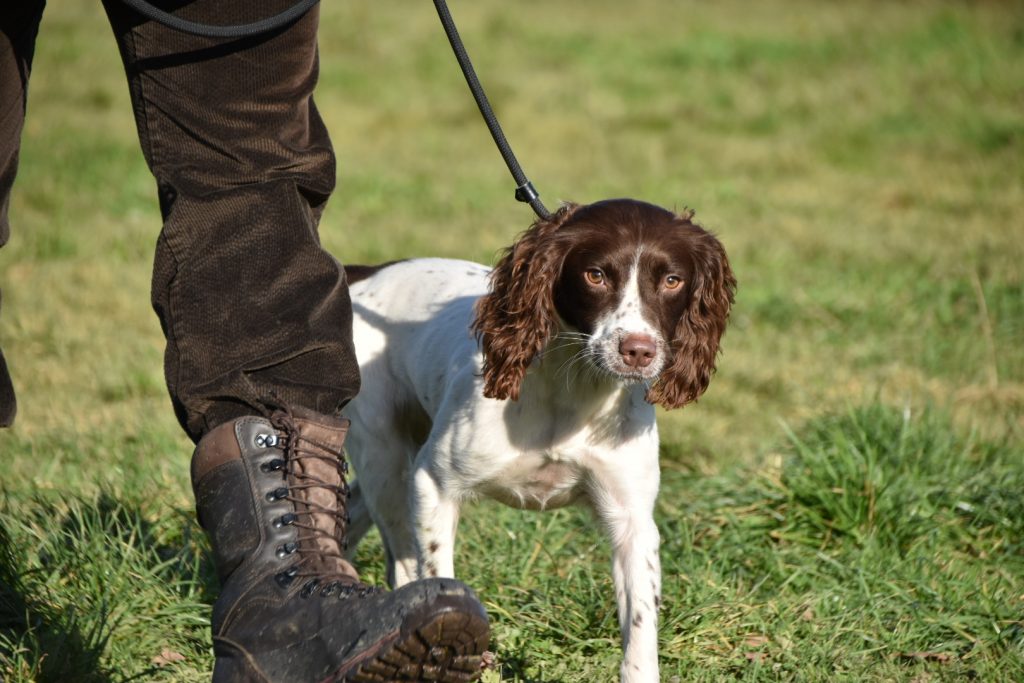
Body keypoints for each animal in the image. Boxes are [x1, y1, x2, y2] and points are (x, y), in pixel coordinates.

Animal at [344, 198, 737, 683]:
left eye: (672, 280)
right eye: (595, 275)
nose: (638, 351)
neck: (573, 392)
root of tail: (364, 273)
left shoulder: (633, 520)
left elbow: (641, 626)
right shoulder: (433, 484)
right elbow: (436, 572)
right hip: (384, 452)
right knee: (400, 557)